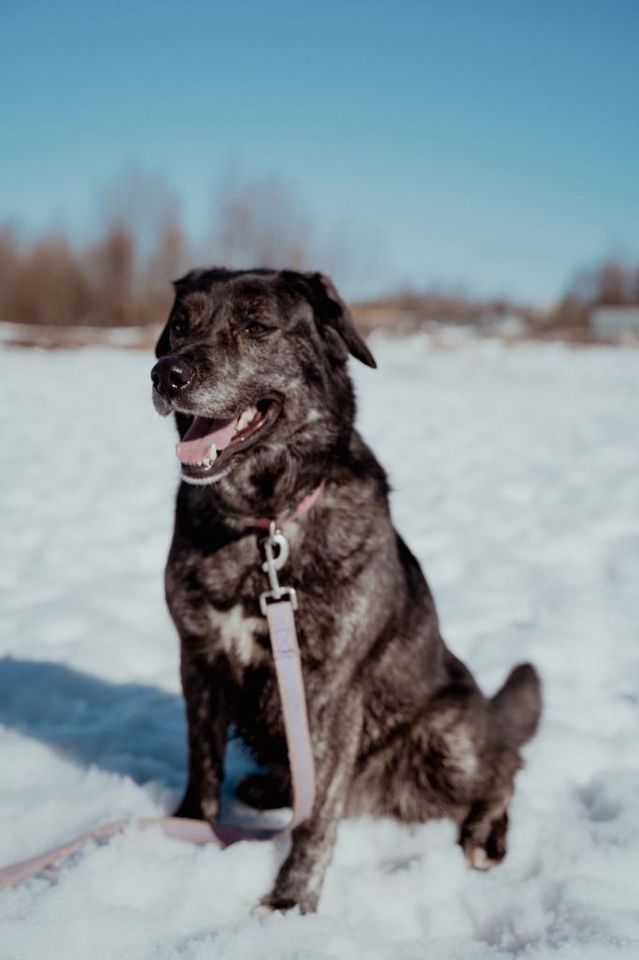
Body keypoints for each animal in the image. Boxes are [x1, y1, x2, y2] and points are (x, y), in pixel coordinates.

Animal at [152, 266, 544, 912]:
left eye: (257, 327)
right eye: (179, 325)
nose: (167, 374)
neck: (264, 525)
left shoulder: (331, 688)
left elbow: (316, 818)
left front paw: (291, 902)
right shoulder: (199, 660)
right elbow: (202, 762)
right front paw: (186, 831)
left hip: (446, 737)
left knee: (505, 767)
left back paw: (487, 834)